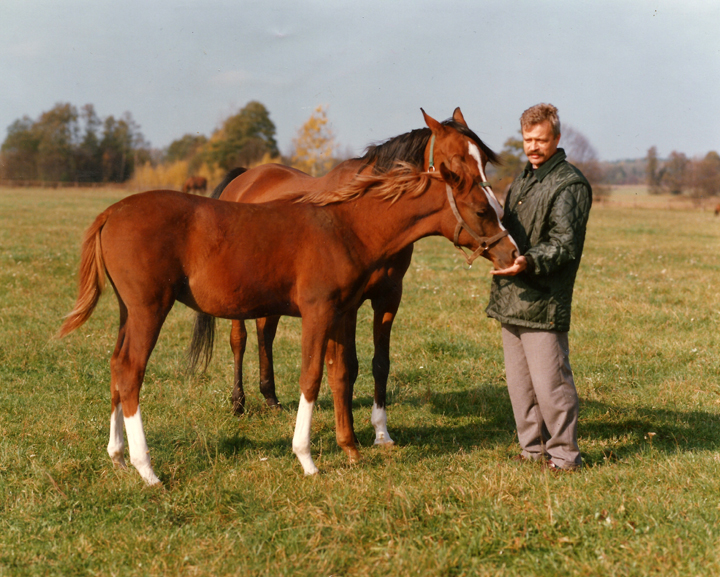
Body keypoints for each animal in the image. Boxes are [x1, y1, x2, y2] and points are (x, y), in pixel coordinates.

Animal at [57, 158, 516, 482]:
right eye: (482, 209)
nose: (511, 253)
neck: (344, 227)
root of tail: (110, 213)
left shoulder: (340, 313)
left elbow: (340, 372)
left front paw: (351, 448)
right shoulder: (318, 312)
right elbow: (311, 377)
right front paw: (307, 458)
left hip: (127, 311)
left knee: (116, 367)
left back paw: (118, 457)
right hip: (149, 309)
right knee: (131, 371)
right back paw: (147, 469)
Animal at [202, 106, 506, 444]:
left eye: (484, 160)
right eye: (454, 160)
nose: (492, 206)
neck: (368, 216)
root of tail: (246, 177)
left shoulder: (388, 296)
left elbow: (380, 364)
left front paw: (381, 432)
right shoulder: (349, 304)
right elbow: (348, 365)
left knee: (265, 333)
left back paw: (271, 398)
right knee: (239, 340)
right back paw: (238, 402)